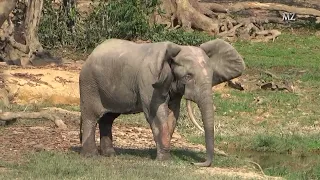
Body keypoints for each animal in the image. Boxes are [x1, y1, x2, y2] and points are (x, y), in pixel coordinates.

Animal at [79, 38, 244, 167]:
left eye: (211, 76)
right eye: (188, 76)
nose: (195, 163)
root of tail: (91, 54)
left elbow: (172, 113)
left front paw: (164, 156)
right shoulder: (149, 80)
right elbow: (156, 113)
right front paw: (165, 160)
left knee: (108, 118)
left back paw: (110, 154)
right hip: (89, 84)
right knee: (91, 116)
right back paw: (91, 155)